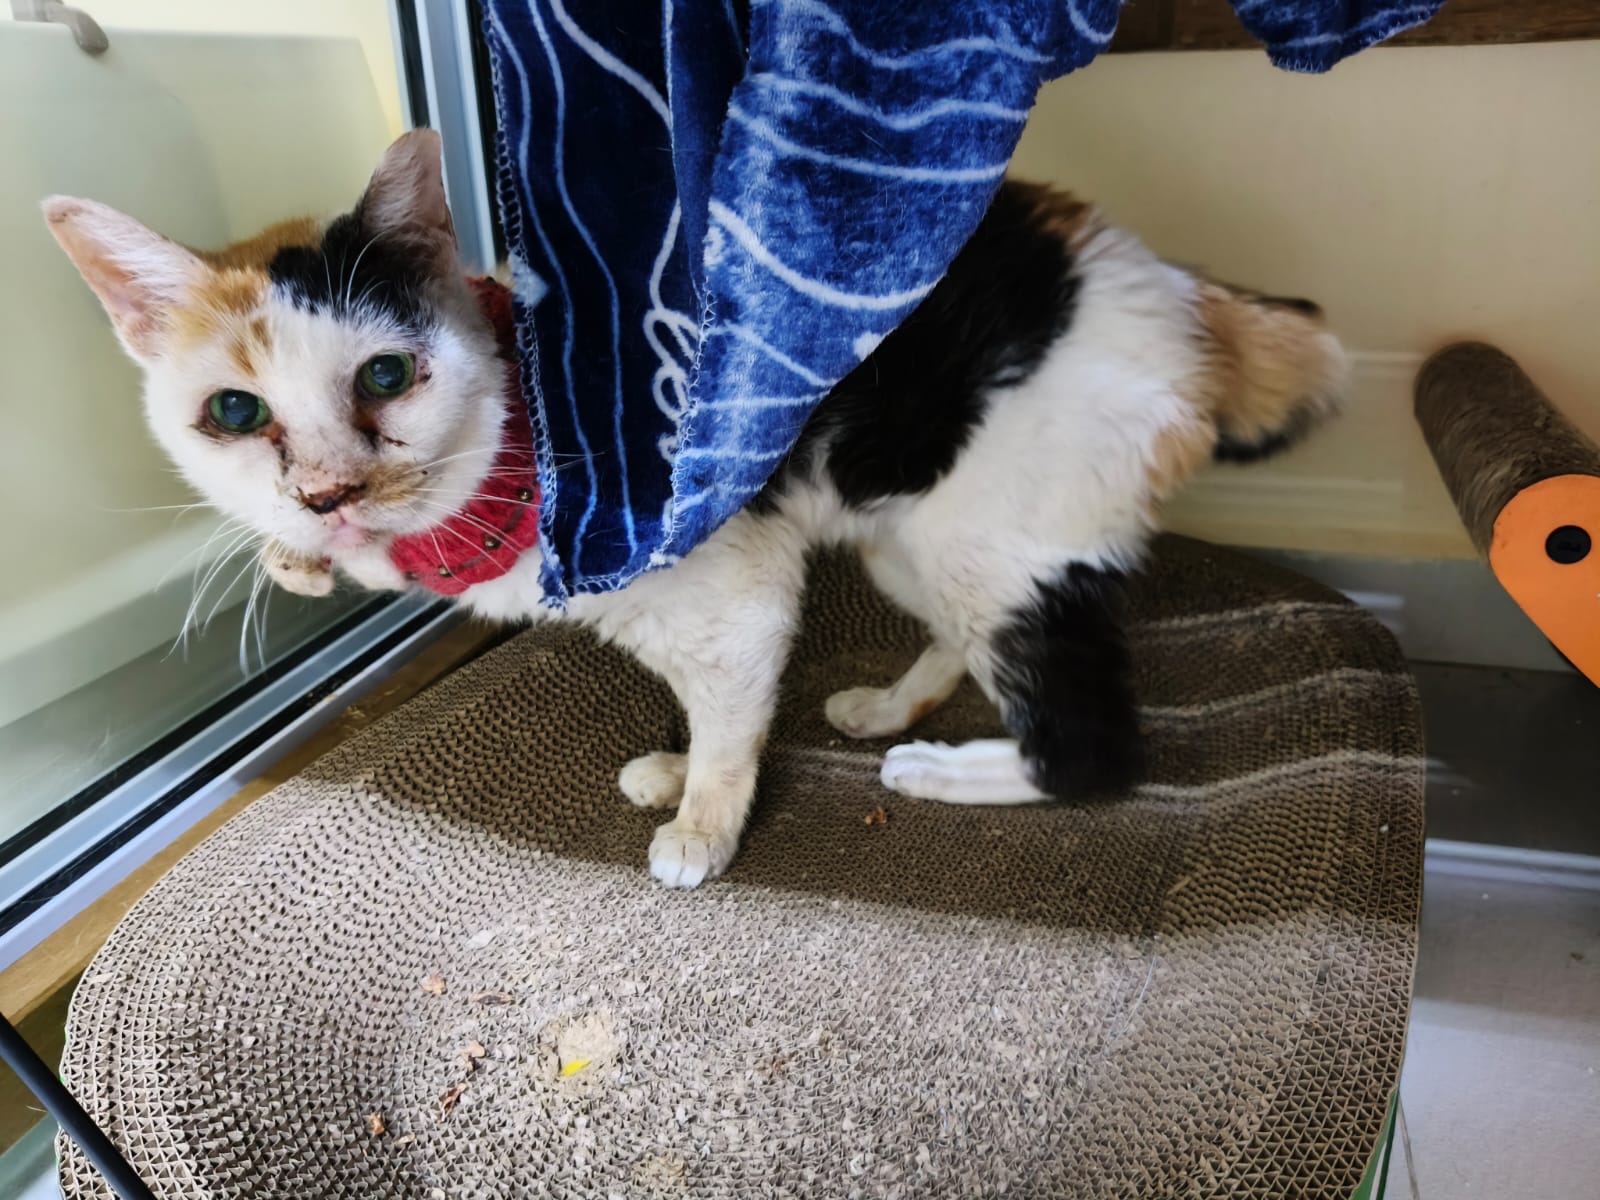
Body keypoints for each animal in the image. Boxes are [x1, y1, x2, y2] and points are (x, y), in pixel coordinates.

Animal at [44, 130, 1344, 888]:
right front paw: (682, 772)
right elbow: (718, 710)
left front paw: (706, 820)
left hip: (991, 538)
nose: (326, 494)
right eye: (232, 412)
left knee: (1090, 749)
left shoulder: (736, 596)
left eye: (384, 376)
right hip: (911, 526)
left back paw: (938, 771)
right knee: (960, 642)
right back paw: (888, 708)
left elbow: (729, 715)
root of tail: (1181, 295)